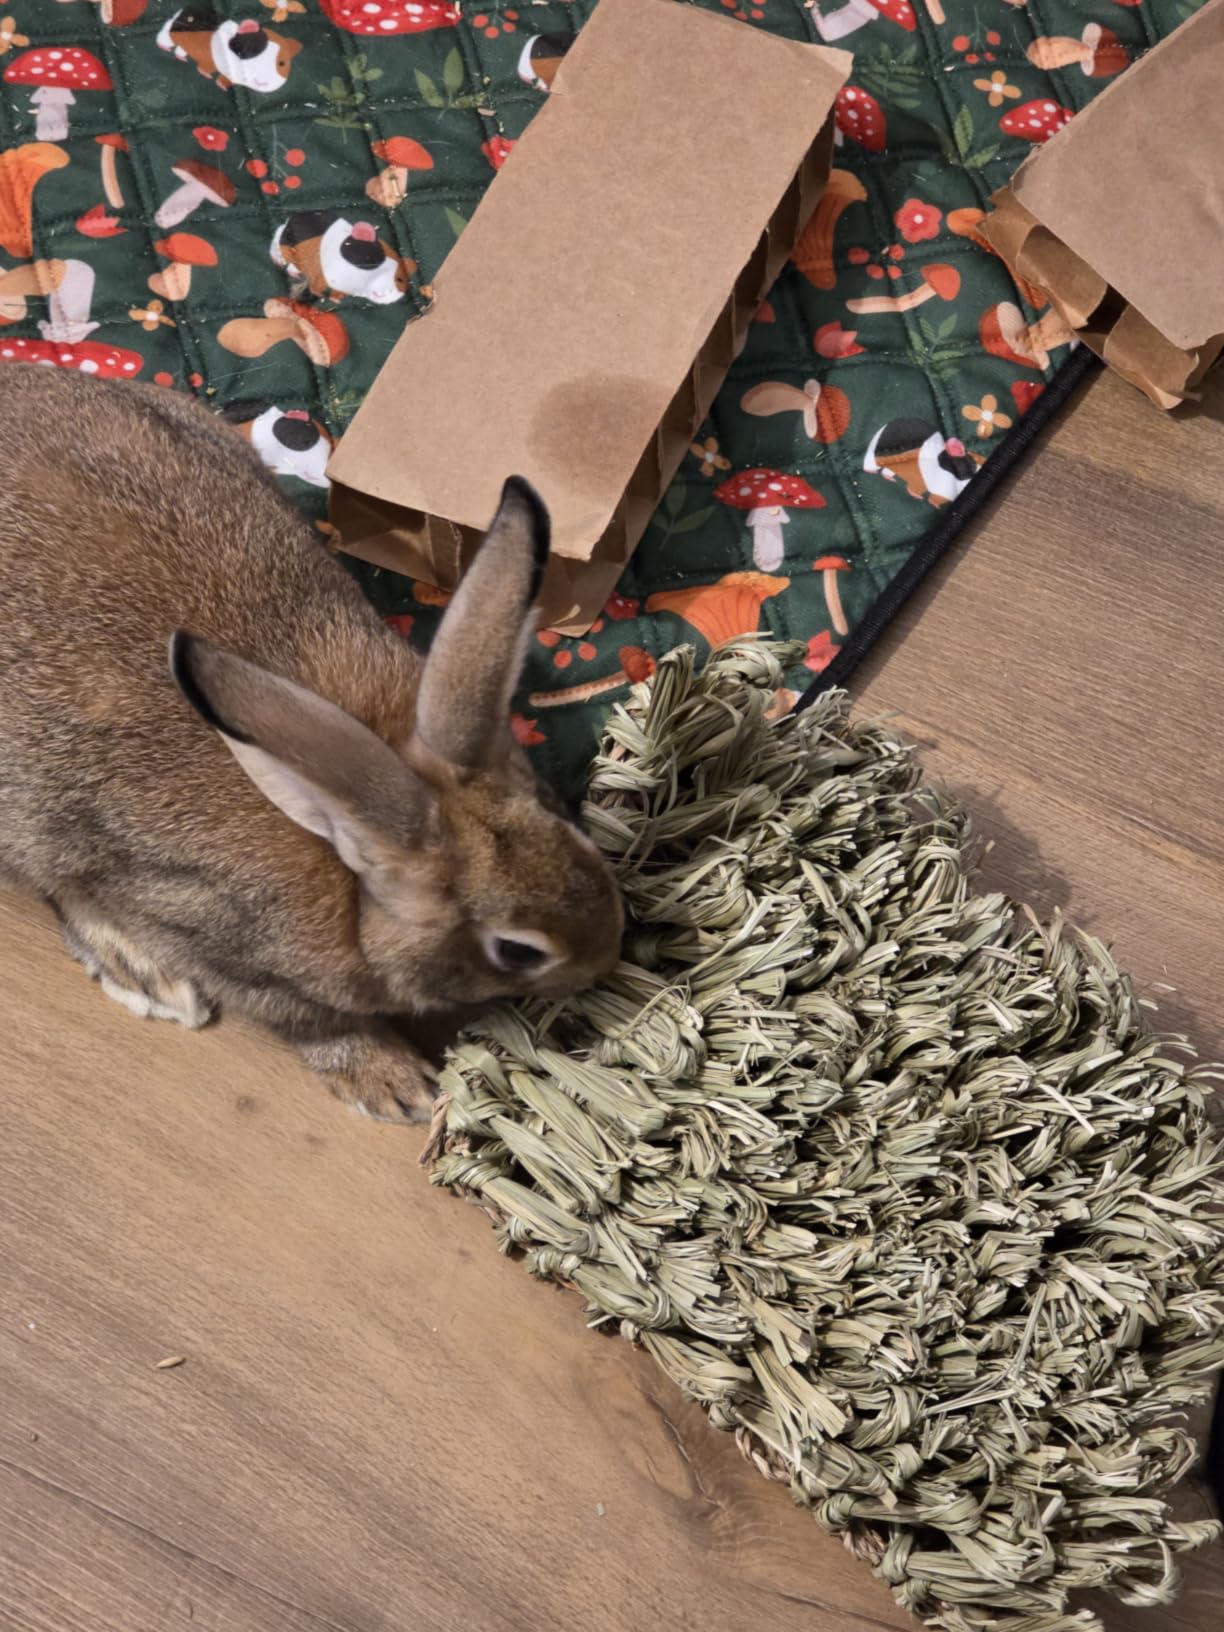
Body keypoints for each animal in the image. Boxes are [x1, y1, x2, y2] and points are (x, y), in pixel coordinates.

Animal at [0, 365, 623, 1122]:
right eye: (518, 950)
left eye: (572, 827)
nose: (611, 953)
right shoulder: (217, 936)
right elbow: (308, 1021)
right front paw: (395, 1085)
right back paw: (142, 973)